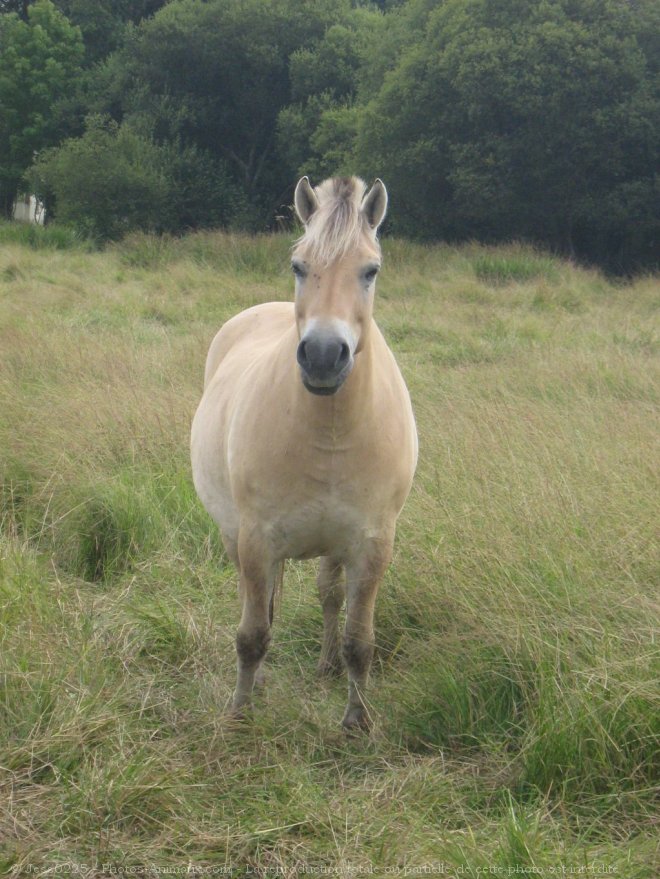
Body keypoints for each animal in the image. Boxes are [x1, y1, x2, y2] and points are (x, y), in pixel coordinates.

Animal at [191, 177, 418, 728]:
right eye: (299, 265)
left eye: (370, 270)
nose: (322, 355)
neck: (329, 435)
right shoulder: (256, 540)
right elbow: (253, 634)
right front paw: (239, 714)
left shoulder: (371, 546)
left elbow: (361, 641)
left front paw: (357, 721)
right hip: (236, 536)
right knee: (258, 602)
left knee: (328, 596)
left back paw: (326, 666)